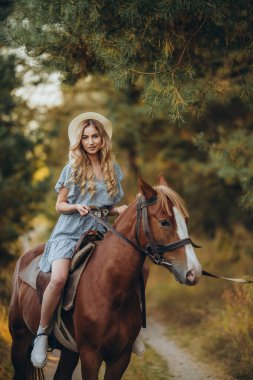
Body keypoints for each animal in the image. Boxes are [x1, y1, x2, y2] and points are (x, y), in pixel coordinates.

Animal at [8, 175, 202, 380]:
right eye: (164, 222)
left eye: (186, 220)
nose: (194, 271)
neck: (109, 287)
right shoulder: (90, 355)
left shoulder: (120, 357)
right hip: (20, 340)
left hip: (69, 352)